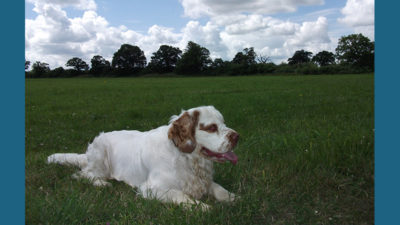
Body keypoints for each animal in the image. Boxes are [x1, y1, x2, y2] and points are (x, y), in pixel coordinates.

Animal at [48, 106, 239, 210]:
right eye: (211, 127)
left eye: (223, 123)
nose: (237, 136)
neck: (186, 157)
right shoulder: (152, 188)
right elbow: (182, 196)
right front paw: (203, 207)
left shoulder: (203, 181)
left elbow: (219, 189)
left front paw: (233, 198)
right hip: (100, 157)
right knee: (84, 174)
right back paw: (102, 183)